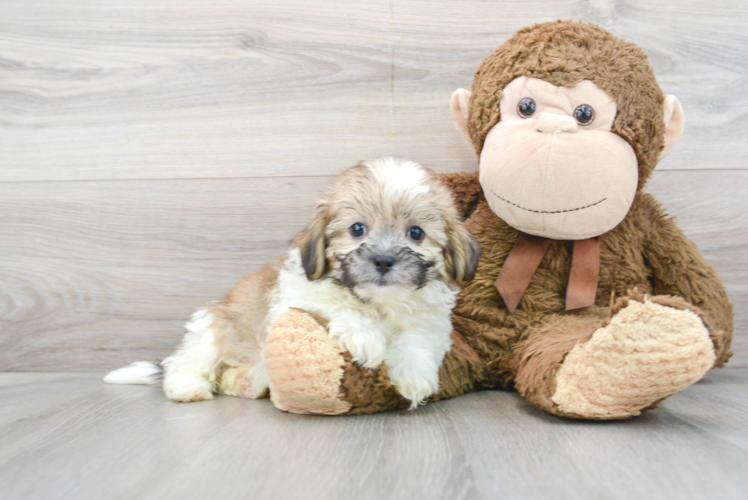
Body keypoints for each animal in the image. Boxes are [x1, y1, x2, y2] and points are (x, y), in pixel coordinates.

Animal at [103, 158, 480, 408]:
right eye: (357, 229)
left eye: (416, 233)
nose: (384, 260)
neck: (379, 303)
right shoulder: (298, 295)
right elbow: (337, 304)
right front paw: (365, 336)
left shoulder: (430, 320)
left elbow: (417, 340)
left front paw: (414, 378)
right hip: (212, 327)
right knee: (186, 364)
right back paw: (188, 387)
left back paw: (246, 383)